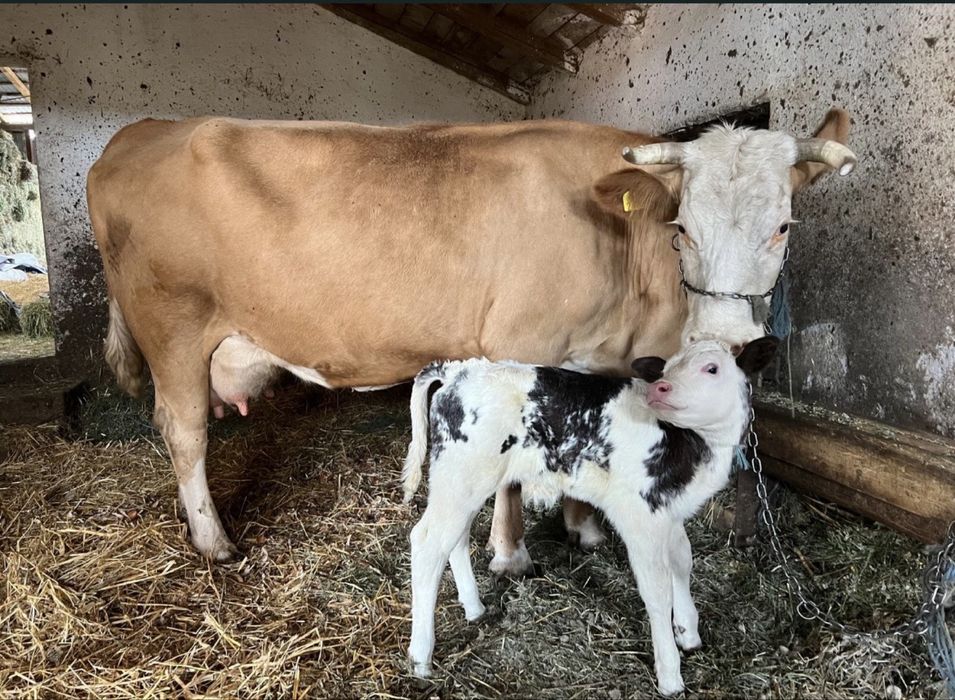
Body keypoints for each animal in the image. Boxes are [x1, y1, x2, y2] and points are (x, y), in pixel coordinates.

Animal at [86, 110, 855, 566]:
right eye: (682, 228)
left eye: (783, 225)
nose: (729, 334)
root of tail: (141, 129)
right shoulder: (521, 343)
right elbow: (514, 463)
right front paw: (511, 555)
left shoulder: (598, 358)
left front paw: (582, 527)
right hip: (174, 326)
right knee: (183, 430)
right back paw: (213, 540)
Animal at [401, 337, 779, 695]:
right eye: (668, 367)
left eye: (711, 368)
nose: (660, 388)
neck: (691, 445)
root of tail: (459, 370)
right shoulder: (639, 516)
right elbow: (657, 590)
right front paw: (670, 675)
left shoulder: (670, 512)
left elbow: (682, 563)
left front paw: (688, 632)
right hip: (463, 476)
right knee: (427, 543)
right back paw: (421, 657)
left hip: (463, 481)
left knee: (455, 538)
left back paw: (474, 608)